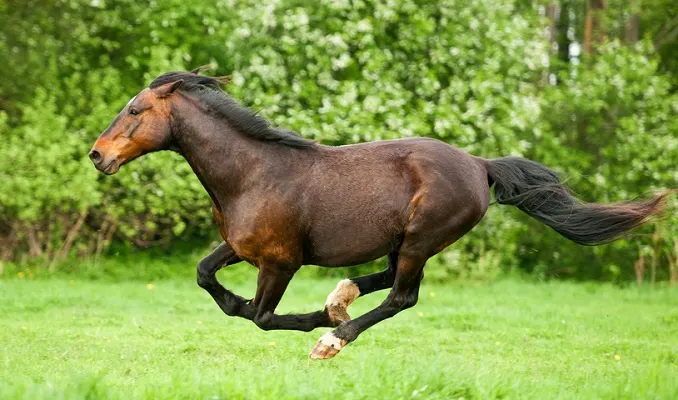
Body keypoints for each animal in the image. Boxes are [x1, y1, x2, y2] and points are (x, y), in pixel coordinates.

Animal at [89, 67, 669, 359]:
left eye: (134, 110)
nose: (97, 155)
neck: (252, 173)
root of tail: (480, 165)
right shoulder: (241, 247)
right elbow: (206, 275)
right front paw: (314, 309)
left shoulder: (280, 261)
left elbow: (260, 316)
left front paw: (319, 325)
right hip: (405, 241)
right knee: (387, 280)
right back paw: (340, 298)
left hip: (422, 238)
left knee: (401, 296)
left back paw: (334, 336)